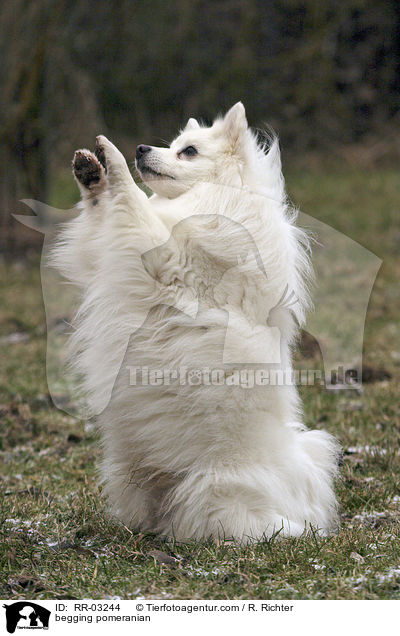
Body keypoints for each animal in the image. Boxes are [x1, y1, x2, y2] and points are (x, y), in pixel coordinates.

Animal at [52, 103, 340, 540]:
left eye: (188, 151)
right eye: (171, 144)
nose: (140, 148)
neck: (221, 197)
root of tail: (293, 511)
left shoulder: (166, 255)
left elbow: (133, 201)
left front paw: (112, 159)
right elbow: (111, 211)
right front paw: (91, 172)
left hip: (216, 489)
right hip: (131, 475)